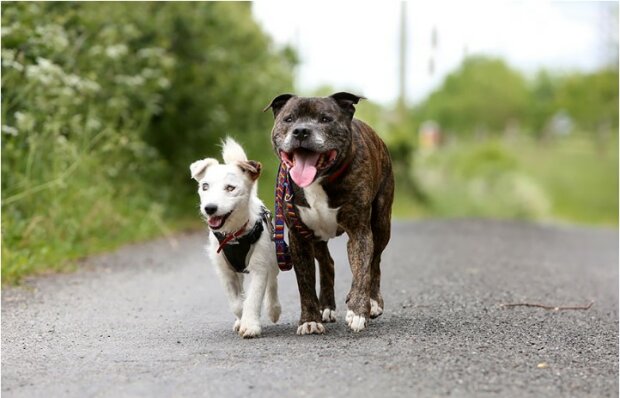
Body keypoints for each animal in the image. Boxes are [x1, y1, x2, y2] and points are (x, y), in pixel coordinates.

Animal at [190, 138, 282, 338]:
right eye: (205, 186)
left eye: (230, 188)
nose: (210, 208)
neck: (233, 235)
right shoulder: (225, 271)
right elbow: (237, 303)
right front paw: (242, 319)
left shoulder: (259, 267)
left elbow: (253, 297)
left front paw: (250, 326)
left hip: (272, 257)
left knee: (273, 282)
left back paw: (273, 309)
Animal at [264, 92, 394, 332]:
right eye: (289, 119)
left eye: (325, 119)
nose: (301, 131)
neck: (320, 180)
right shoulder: (298, 237)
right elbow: (305, 283)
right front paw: (309, 320)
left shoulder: (360, 232)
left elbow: (362, 269)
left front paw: (358, 311)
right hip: (315, 236)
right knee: (327, 263)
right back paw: (326, 306)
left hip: (381, 223)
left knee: (375, 261)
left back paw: (372, 301)